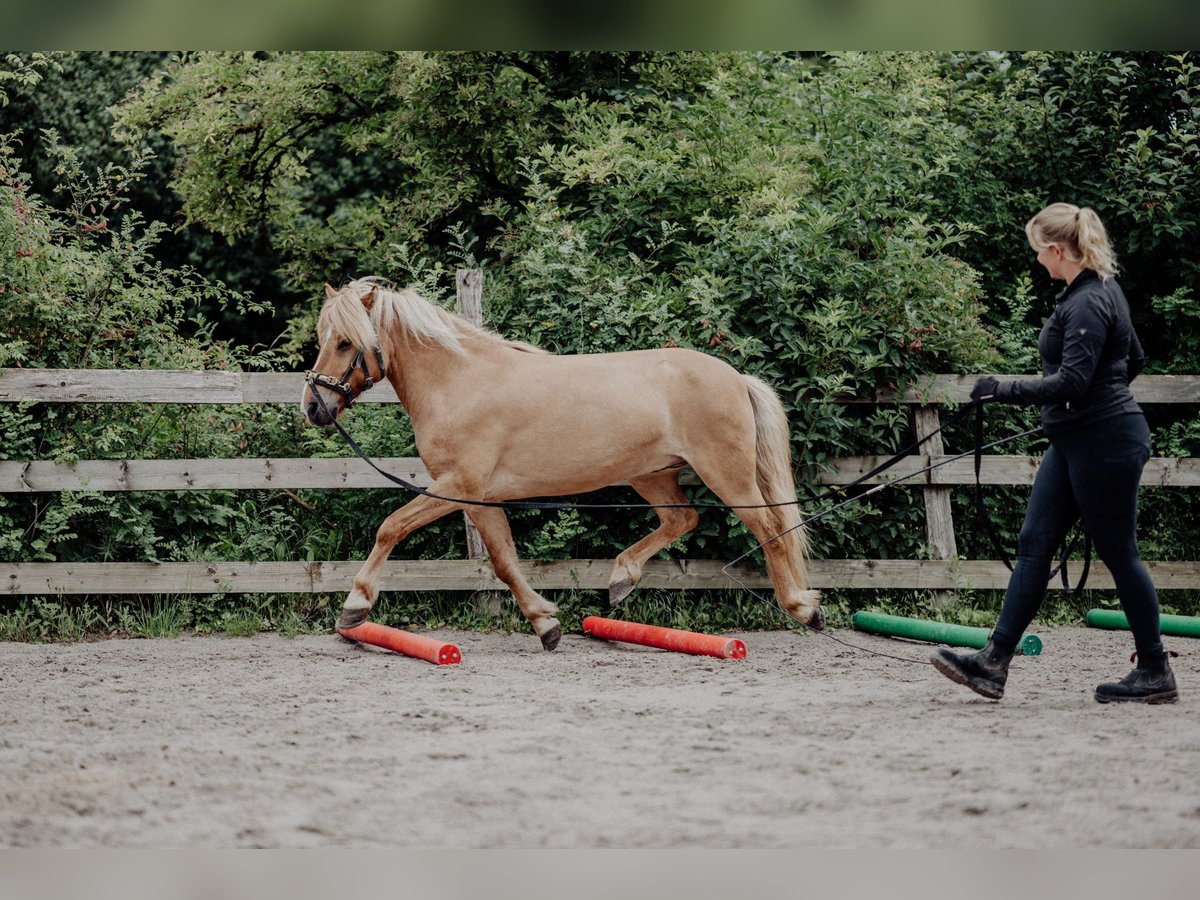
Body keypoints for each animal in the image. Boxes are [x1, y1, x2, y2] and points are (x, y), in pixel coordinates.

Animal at [302, 278, 825, 652]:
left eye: (345, 342)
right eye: (323, 337)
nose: (313, 407)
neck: (460, 382)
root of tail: (736, 377)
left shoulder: (457, 485)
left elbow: (391, 527)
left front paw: (355, 606)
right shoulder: (478, 496)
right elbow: (504, 561)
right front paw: (545, 623)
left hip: (725, 473)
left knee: (770, 527)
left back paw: (803, 608)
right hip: (651, 474)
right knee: (683, 520)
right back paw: (620, 580)